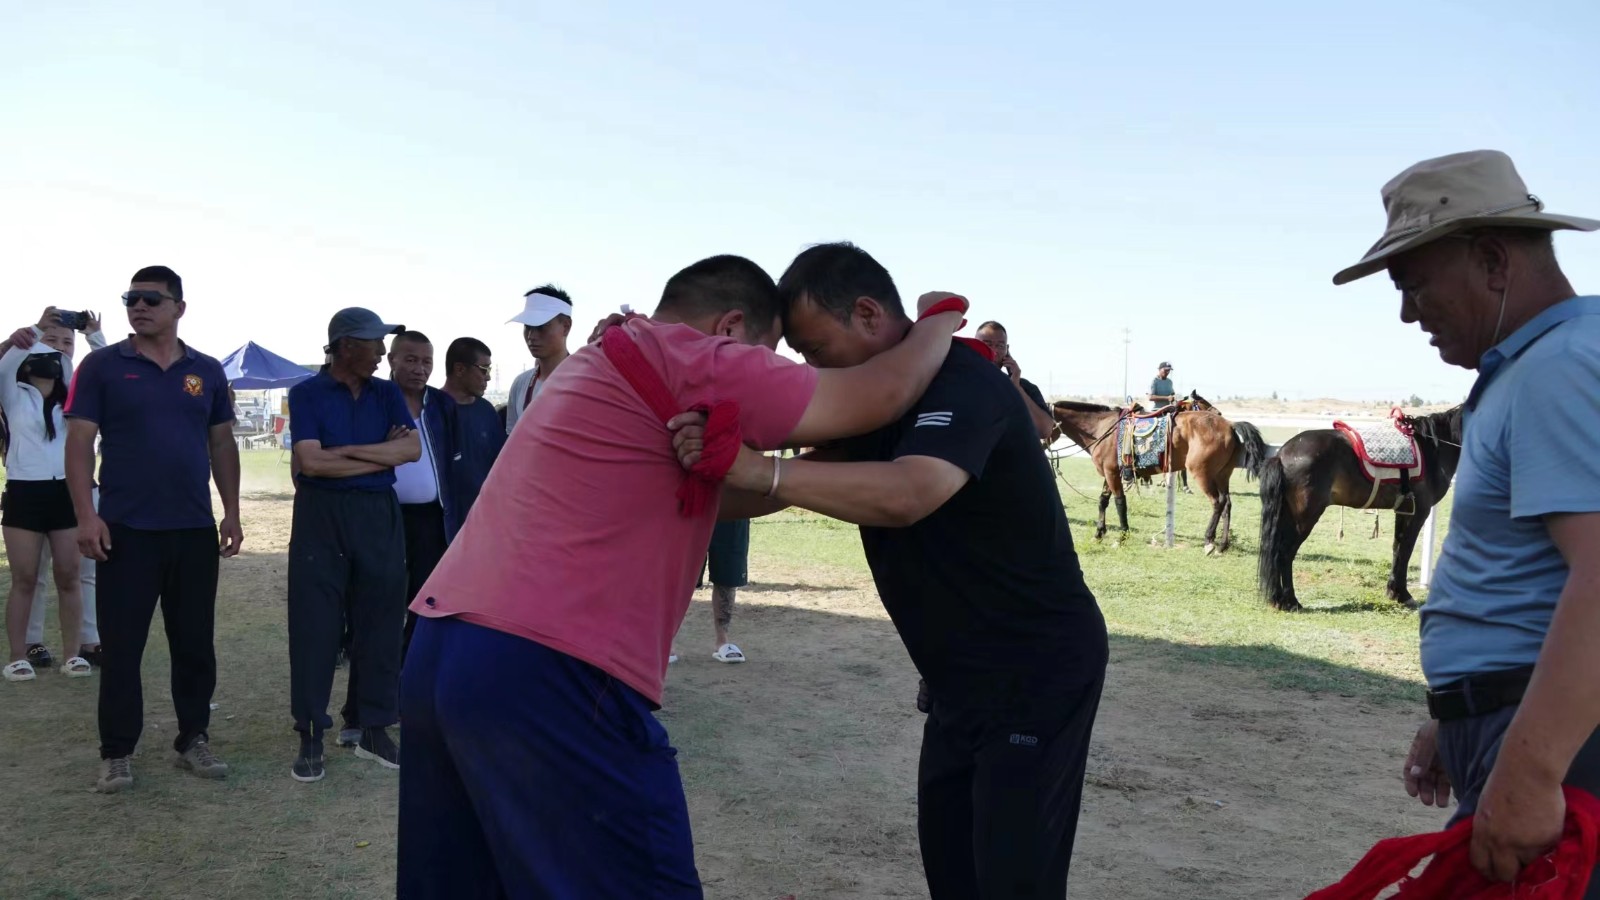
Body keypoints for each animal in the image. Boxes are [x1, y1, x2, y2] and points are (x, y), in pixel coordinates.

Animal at [1056, 400, 1267, 554]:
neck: (1104, 429)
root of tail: (1230, 425)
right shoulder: (1109, 474)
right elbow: (1103, 501)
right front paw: (1099, 534)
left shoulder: (1112, 473)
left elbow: (1119, 503)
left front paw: (1122, 537)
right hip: (1222, 475)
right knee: (1227, 504)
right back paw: (1222, 544)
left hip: (1202, 473)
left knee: (1217, 502)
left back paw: (1208, 540)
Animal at [1254, 406, 1465, 608]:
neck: (1433, 449)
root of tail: (1282, 455)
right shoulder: (1419, 512)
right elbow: (1406, 550)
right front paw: (1403, 595)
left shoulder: (1403, 510)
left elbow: (1397, 549)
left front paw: (1394, 592)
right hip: (1304, 517)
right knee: (1286, 552)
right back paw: (1290, 601)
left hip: (1286, 515)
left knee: (1276, 551)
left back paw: (1277, 598)